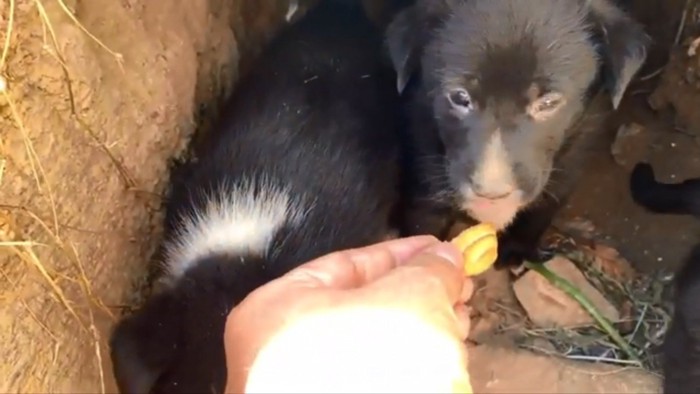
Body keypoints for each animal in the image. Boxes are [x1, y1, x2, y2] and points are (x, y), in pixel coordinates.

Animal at [386, 0, 648, 268]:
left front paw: (515, 251)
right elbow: (423, 226)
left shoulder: (570, 162)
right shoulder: (425, 171)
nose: (491, 194)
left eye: (548, 102)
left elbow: (539, 213)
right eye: (459, 97)